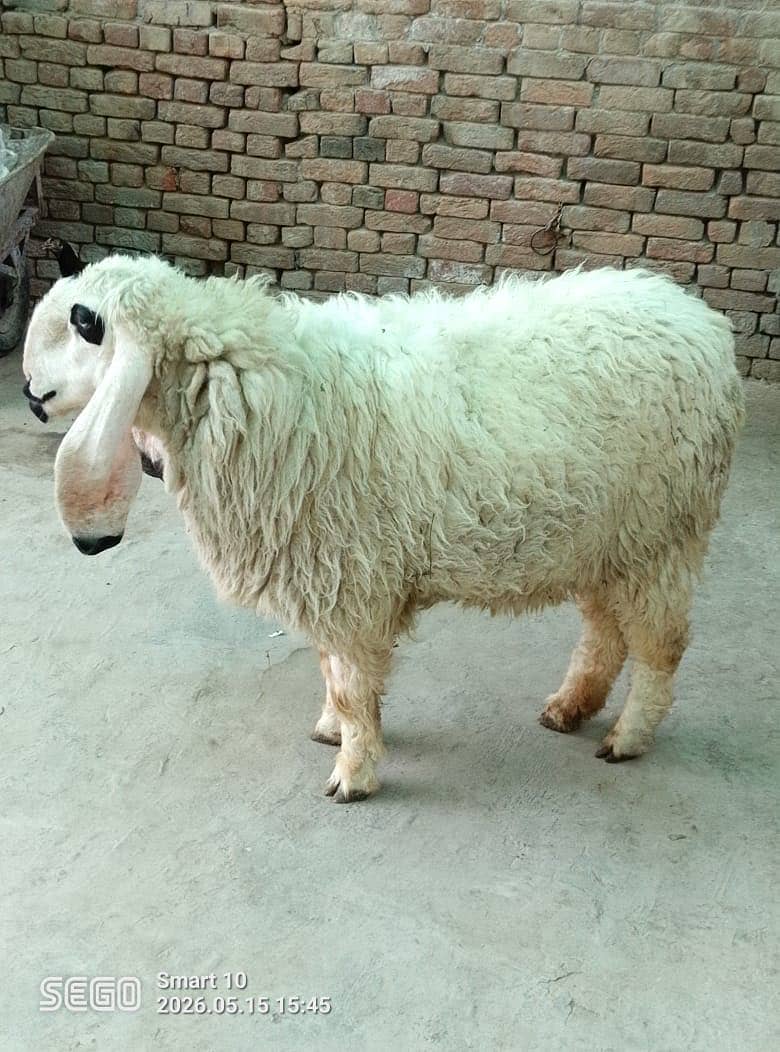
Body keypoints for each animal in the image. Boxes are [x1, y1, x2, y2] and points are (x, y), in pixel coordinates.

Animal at [23, 255, 744, 802]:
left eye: (87, 325)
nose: (28, 393)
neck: (247, 383)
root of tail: (702, 322)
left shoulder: (346, 576)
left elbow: (350, 686)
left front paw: (354, 770)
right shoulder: (326, 572)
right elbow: (330, 673)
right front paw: (333, 732)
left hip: (663, 535)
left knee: (659, 645)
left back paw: (629, 736)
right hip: (606, 540)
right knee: (604, 633)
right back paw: (570, 707)